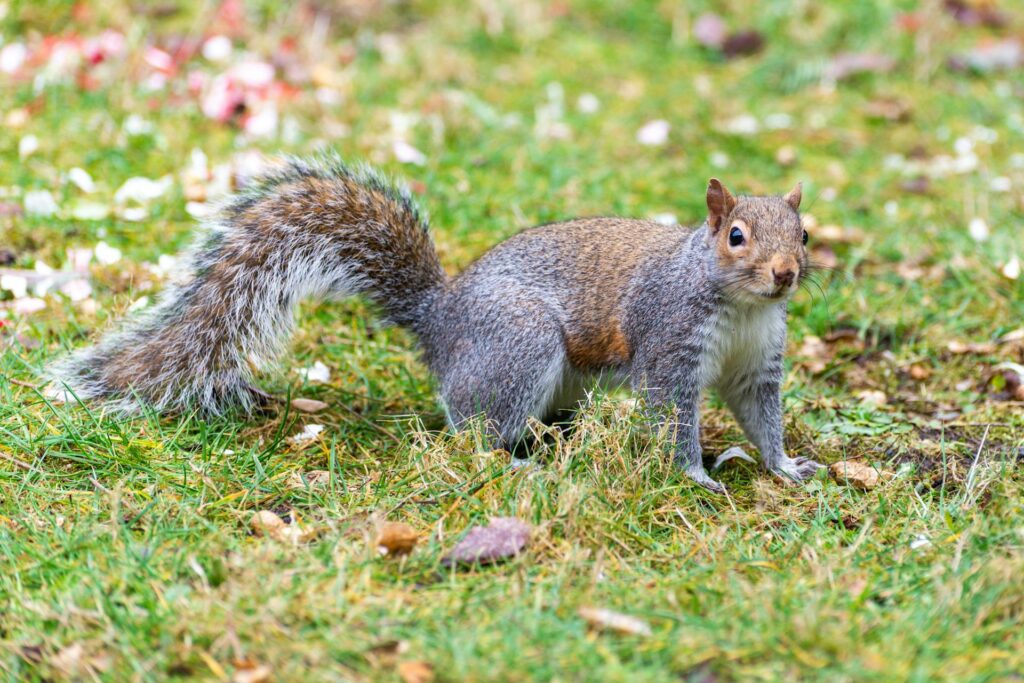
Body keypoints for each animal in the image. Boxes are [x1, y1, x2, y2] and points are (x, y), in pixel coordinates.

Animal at [51, 156, 827, 491]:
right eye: (735, 236)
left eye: (805, 233)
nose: (786, 273)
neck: (743, 308)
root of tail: (441, 320)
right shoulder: (671, 345)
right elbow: (672, 419)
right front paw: (696, 476)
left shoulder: (757, 366)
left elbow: (762, 419)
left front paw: (787, 467)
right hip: (519, 344)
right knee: (474, 432)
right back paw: (521, 464)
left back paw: (555, 445)